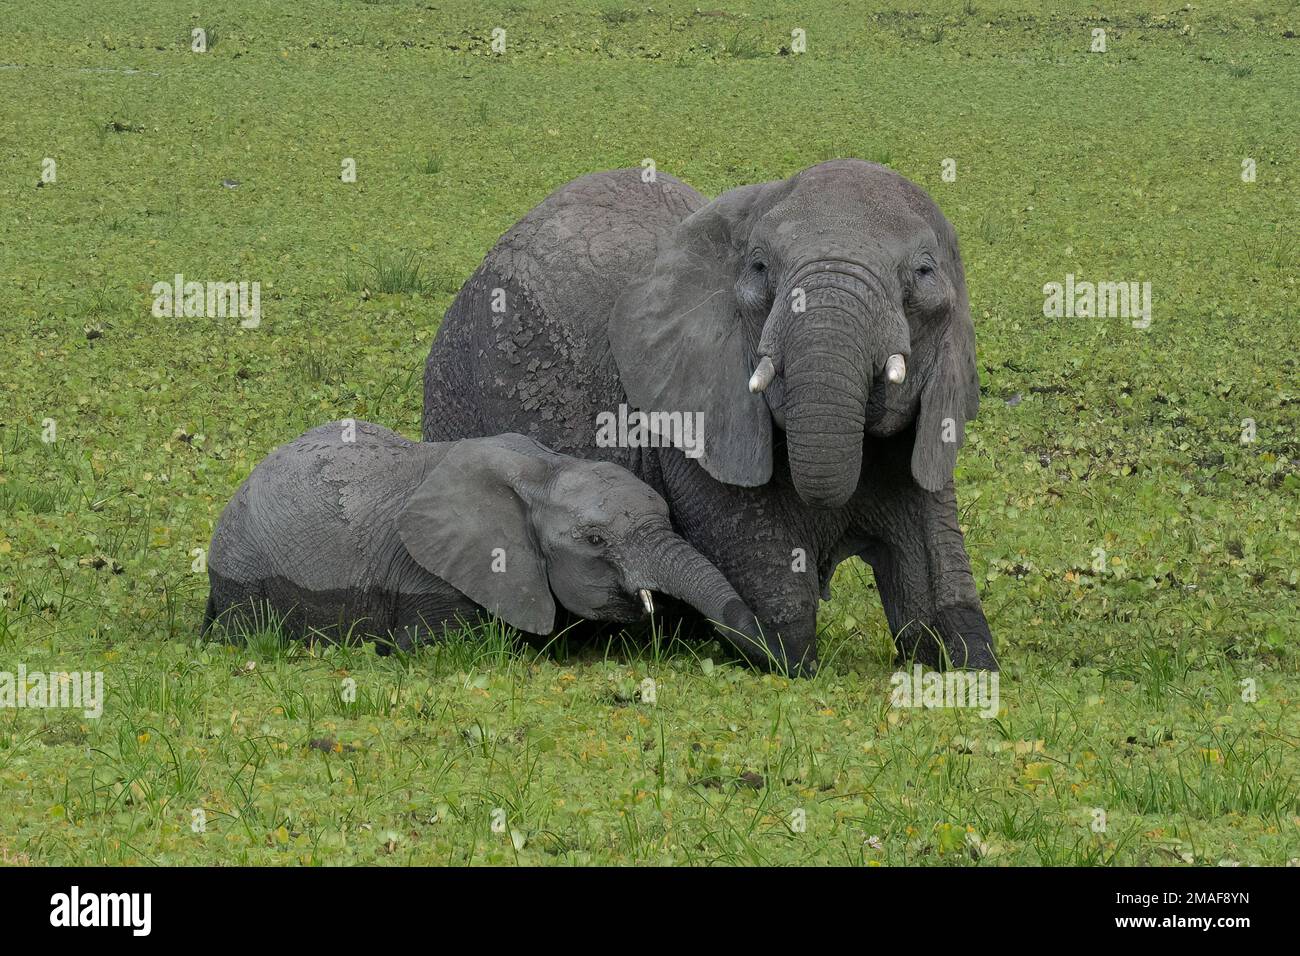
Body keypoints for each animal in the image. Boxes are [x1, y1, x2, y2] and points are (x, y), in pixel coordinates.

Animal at [422, 159, 996, 675]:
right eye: (761, 269)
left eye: (923, 272)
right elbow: (755, 549)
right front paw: (786, 657)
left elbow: (932, 546)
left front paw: (968, 668)